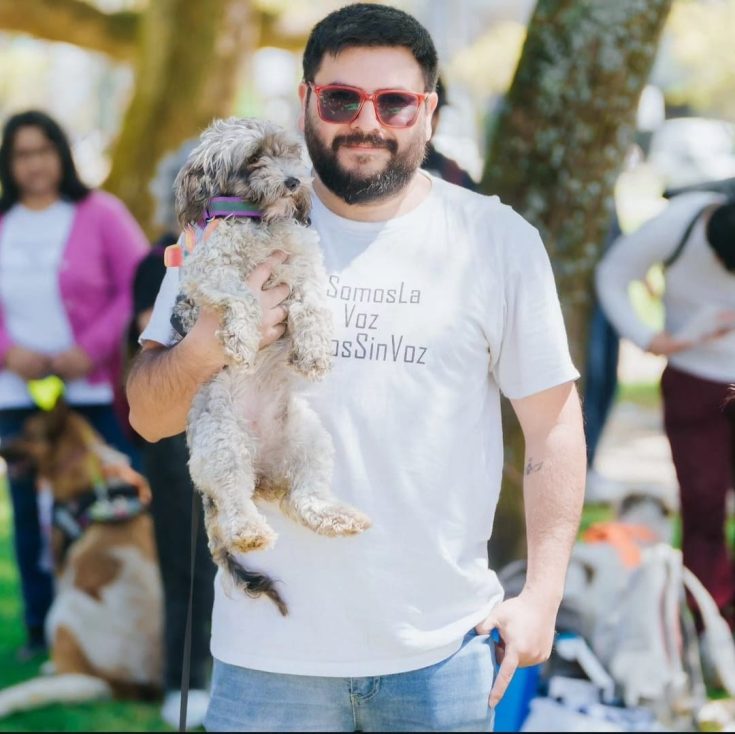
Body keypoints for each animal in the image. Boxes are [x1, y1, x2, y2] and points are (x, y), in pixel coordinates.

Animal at [0, 402, 162, 720]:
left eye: (26, 431)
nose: (0, 445)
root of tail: (123, 685)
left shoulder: (61, 568)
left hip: (63, 612)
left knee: (73, 673)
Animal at [170, 119, 370, 616]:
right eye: (254, 158)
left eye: (289, 154)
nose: (295, 182)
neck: (258, 222)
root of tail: (264, 476)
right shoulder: (210, 271)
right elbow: (241, 296)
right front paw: (241, 340)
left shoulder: (304, 268)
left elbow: (311, 304)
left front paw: (313, 351)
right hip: (221, 443)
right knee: (234, 503)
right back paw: (250, 532)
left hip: (309, 439)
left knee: (305, 499)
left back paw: (336, 516)